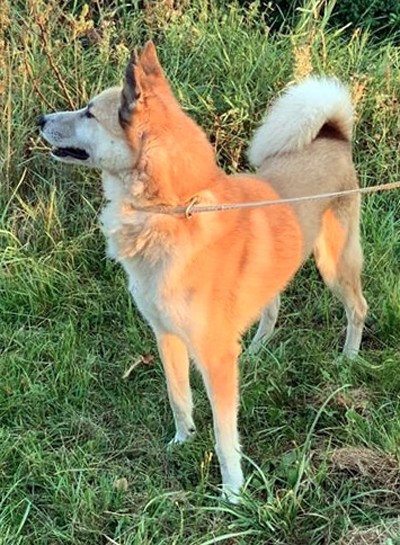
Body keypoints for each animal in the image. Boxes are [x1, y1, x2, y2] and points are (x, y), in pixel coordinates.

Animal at [39, 41, 368, 502]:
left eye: (88, 112)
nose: (39, 120)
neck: (170, 210)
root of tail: (332, 136)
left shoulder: (213, 357)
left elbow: (224, 435)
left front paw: (233, 494)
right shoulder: (166, 335)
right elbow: (179, 397)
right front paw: (182, 442)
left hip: (334, 265)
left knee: (357, 307)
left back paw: (348, 358)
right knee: (272, 306)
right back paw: (258, 349)